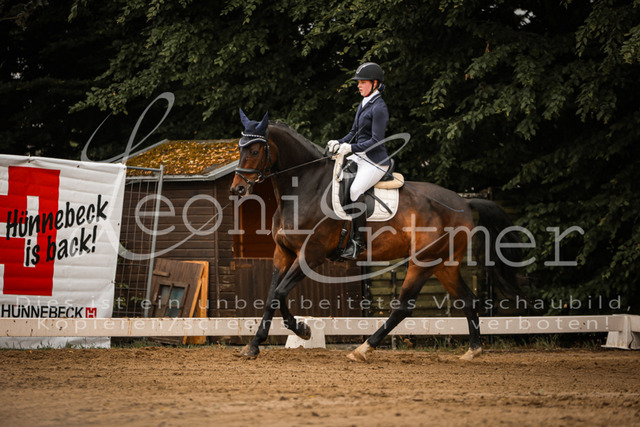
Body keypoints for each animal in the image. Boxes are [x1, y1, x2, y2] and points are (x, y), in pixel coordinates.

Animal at [230, 111, 526, 361]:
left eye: (254, 150)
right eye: (240, 149)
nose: (237, 190)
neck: (304, 187)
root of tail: (464, 202)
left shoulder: (310, 255)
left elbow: (280, 292)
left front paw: (302, 330)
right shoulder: (283, 253)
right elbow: (271, 296)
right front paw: (255, 344)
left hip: (423, 262)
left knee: (404, 307)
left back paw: (363, 349)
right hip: (444, 264)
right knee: (467, 299)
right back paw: (473, 351)